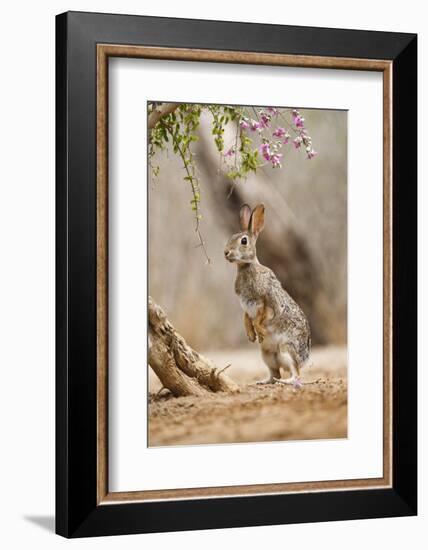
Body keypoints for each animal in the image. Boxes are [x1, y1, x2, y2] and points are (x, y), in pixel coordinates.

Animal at [224, 204, 310, 388]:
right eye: (231, 237)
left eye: (243, 241)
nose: (226, 252)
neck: (247, 266)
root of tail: (305, 359)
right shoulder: (246, 306)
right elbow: (246, 318)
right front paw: (251, 335)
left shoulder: (265, 302)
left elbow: (260, 317)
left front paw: (260, 331)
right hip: (267, 355)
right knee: (274, 373)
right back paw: (263, 382)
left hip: (287, 349)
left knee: (295, 373)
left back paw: (284, 381)